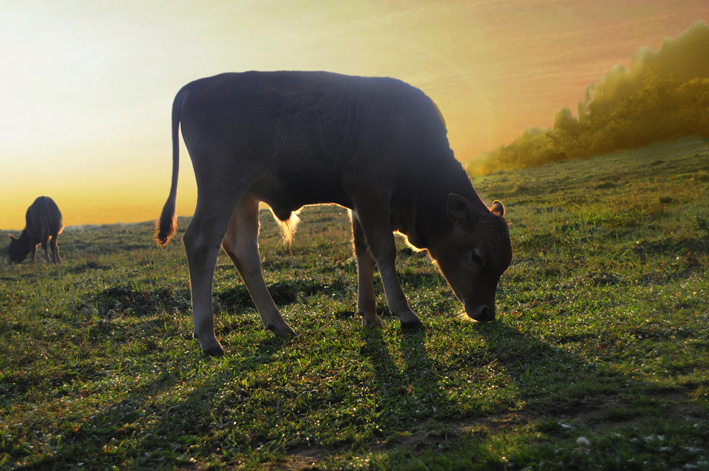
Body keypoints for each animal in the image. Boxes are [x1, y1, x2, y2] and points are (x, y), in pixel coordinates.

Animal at [155, 72, 512, 356]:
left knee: (243, 249)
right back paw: (208, 338)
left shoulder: (358, 205)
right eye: (477, 256)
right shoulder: (370, 190)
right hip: (223, 188)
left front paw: (369, 314)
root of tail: (200, 85)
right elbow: (384, 250)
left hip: (245, 195)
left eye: (505, 263)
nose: (487, 312)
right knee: (201, 242)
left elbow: (363, 252)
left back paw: (278, 324)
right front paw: (404, 313)